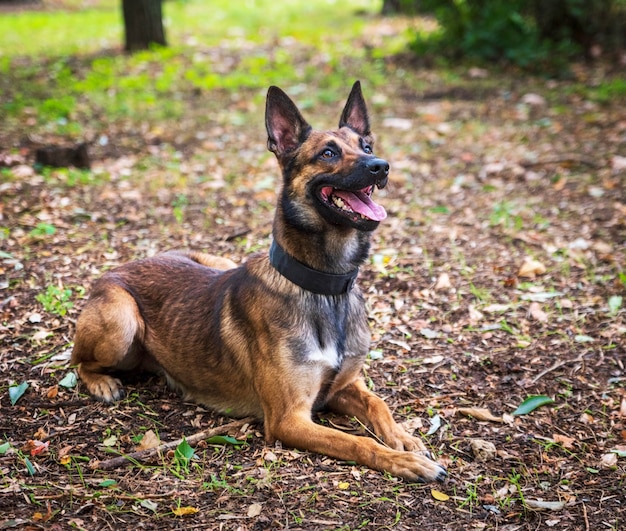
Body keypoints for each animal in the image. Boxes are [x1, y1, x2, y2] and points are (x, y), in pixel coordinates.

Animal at [70, 81, 446, 484]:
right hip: (120, 321)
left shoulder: (344, 386)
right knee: (78, 361)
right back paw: (103, 383)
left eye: (367, 147)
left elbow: (379, 405)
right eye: (328, 153)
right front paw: (406, 462)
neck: (324, 288)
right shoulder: (289, 419)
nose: (381, 167)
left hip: (216, 261)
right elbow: (357, 442)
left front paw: (406, 439)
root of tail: (118, 268)